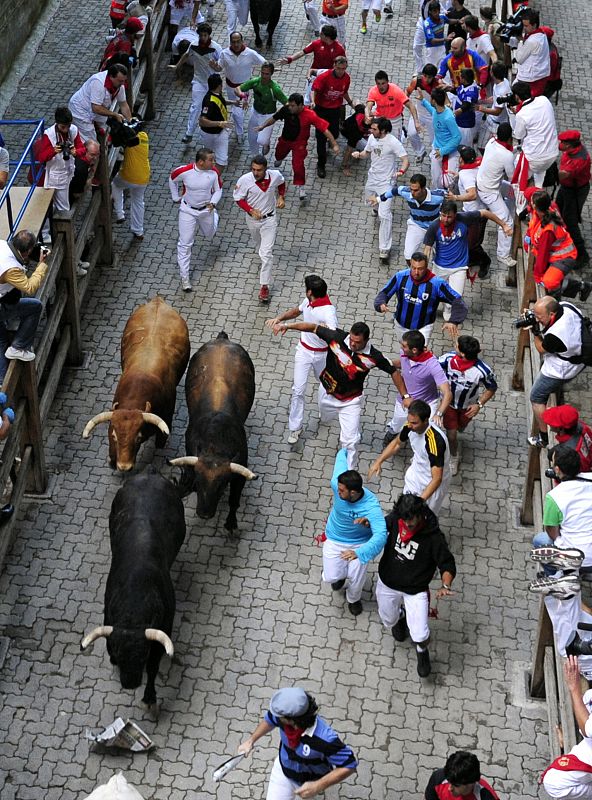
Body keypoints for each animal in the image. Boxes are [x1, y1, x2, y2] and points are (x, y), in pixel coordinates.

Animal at [79, 468, 185, 708]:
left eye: (142, 655)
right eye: (118, 655)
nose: (129, 684)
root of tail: (151, 474)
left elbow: (154, 668)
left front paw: (150, 697)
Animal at [169, 332, 256, 532]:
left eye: (222, 485)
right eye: (198, 482)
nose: (204, 514)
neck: (215, 443)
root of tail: (221, 339)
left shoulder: (239, 476)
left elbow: (234, 501)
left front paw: (231, 523)